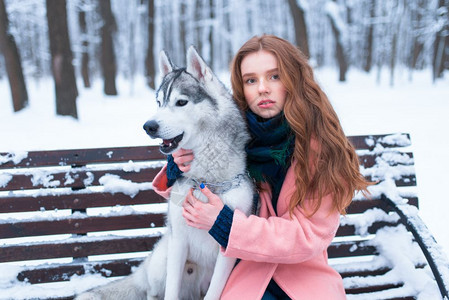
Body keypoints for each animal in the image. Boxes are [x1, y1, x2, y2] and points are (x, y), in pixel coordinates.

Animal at [75, 47, 254, 300]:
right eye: (159, 102)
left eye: (181, 102)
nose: (148, 126)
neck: (206, 181)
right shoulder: (178, 240)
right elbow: (171, 291)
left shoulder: (228, 248)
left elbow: (215, 291)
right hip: (162, 260)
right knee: (152, 291)